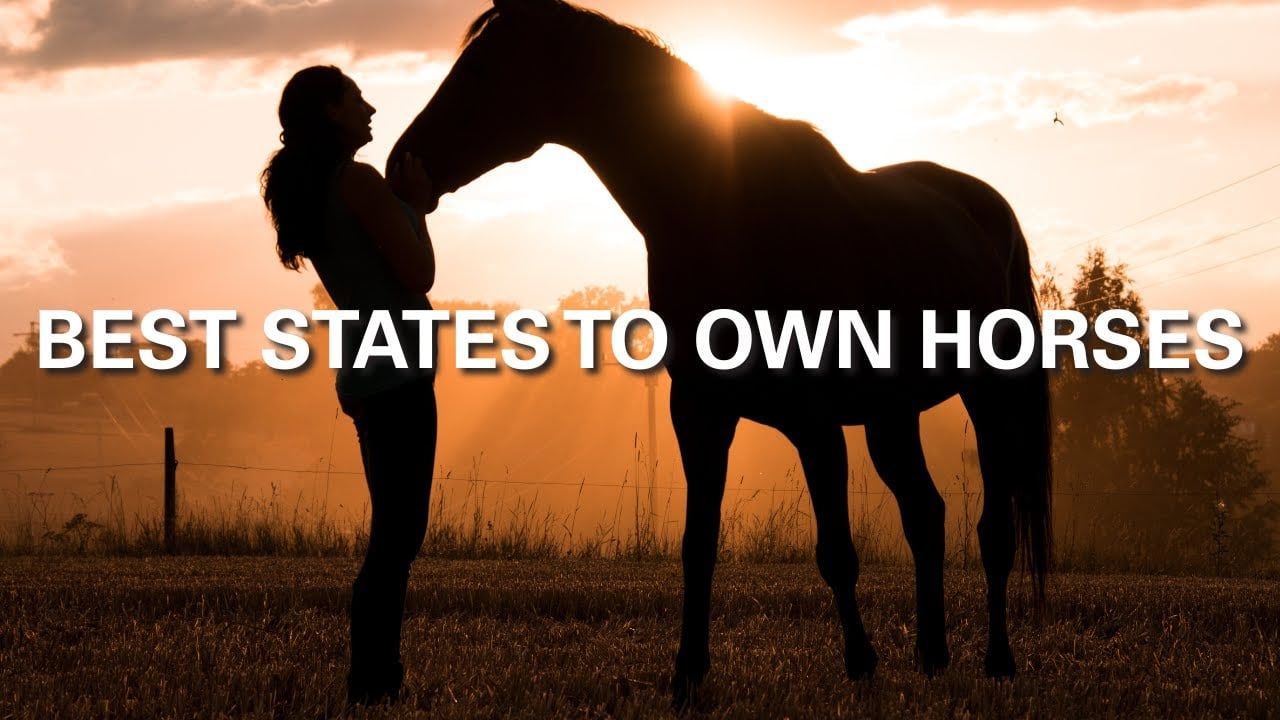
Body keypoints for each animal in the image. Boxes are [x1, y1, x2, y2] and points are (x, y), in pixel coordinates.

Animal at [389, 0, 1052, 703]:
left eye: (484, 68)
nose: (401, 162)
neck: (731, 215)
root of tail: (986, 208)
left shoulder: (814, 424)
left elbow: (836, 552)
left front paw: (860, 663)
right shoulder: (699, 413)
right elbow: (698, 545)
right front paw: (687, 672)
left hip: (989, 398)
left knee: (994, 532)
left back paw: (998, 660)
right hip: (889, 417)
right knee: (926, 516)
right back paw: (930, 655)